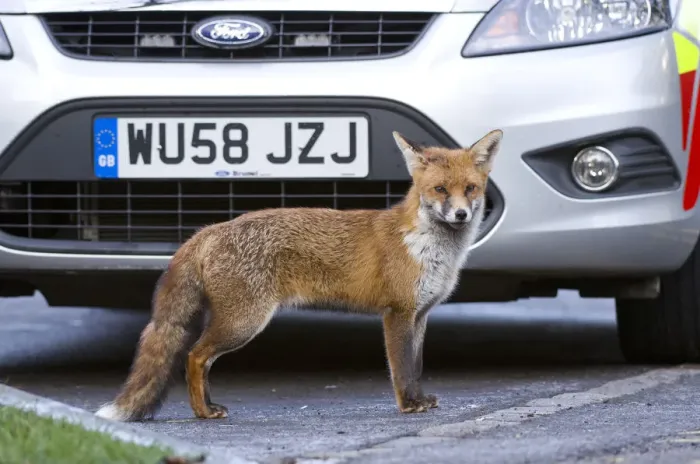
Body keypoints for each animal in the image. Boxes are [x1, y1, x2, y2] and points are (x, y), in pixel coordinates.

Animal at [94, 128, 503, 422]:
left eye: (470, 189)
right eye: (439, 189)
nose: (460, 215)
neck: (430, 249)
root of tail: (210, 229)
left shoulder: (420, 315)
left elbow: (415, 366)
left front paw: (420, 399)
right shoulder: (397, 313)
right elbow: (401, 368)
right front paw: (408, 406)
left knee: (200, 359)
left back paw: (209, 406)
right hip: (244, 322)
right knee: (194, 357)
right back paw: (202, 412)